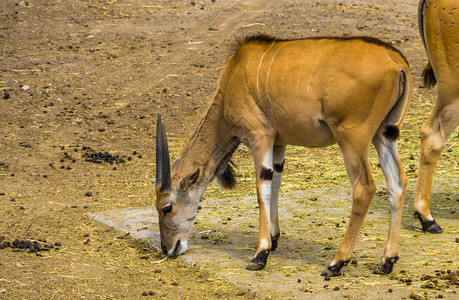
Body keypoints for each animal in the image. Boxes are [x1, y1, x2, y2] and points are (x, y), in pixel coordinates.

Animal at [155, 34, 414, 276]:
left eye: (166, 207)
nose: (168, 248)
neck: (235, 76)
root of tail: (397, 61)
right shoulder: (279, 143)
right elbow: (276, 185)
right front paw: (273, 239)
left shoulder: (261, 137)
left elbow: (262, 189)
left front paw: (260, 254)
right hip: (383, 136)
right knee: (397, 183)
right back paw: (387, 261)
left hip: (352, 140)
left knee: (364, 189)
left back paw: (337, 263)